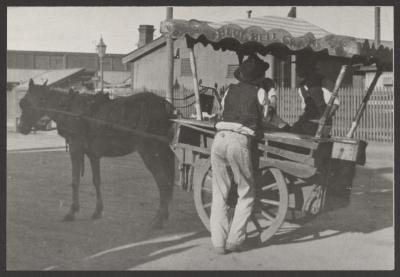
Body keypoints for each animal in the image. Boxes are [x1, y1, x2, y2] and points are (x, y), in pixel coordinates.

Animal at [18, 78, 175, 227]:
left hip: (149, 151)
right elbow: (96, 181)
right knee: (167, 181)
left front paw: (72, 211)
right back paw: (164, 215)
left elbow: (75, 181)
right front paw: (98, 211)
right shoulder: (93, 155)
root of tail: (164, 104)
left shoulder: (75, 149)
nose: (21, 128)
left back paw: (159, 219)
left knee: (162, 181)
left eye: (24, 103)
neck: (70, 109)